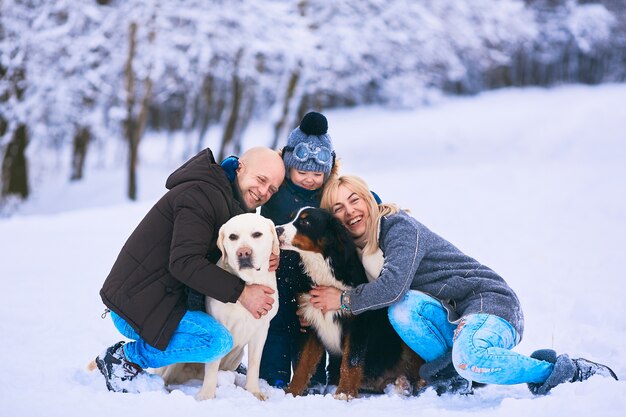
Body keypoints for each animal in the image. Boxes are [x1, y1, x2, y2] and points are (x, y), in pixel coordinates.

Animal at [157, 213, 280, 398]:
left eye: (257, 234)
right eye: (233, 237)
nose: (243, 253)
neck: (247, 283)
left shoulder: (261, 330)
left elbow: (254, 363)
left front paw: (253, 391)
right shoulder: (221, 326)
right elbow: (213, 364)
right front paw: (207, 395)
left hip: (237, 356)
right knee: (165, 376)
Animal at [274, 206, 424, 398]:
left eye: (305, 221)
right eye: (291, 217)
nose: (277, 229)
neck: (322, 270)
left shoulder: (357, 324)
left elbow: (351, 362)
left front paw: (344, 393)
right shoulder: (310, 320)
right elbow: (303, 363)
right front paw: (292, 391)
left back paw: (408, 384)